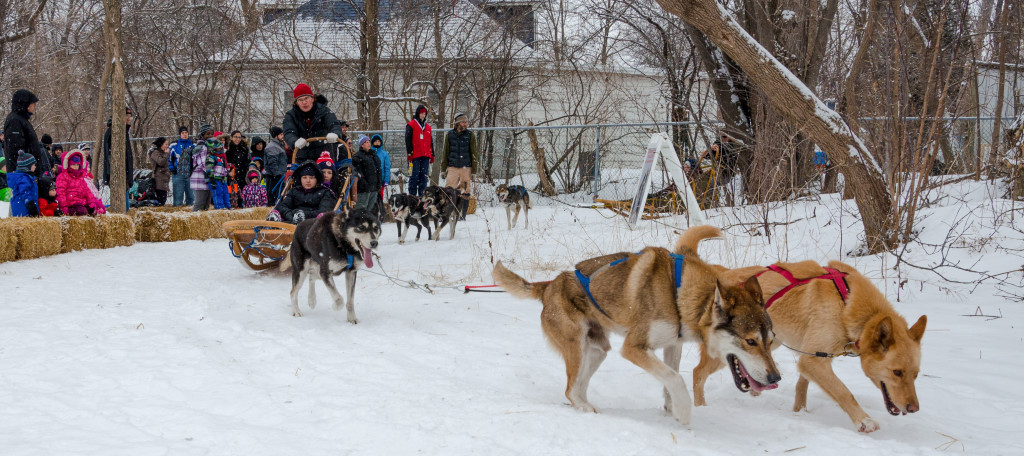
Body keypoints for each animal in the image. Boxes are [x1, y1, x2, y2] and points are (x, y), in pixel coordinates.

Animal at [491, 225, 778, 428]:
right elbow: (675, 378)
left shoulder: (672, 345)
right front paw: (684, 413)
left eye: (770, 339)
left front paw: (672, 411)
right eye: (750, 341)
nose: (776, 378)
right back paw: (586, 411)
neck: (678, 293)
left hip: (597, 351)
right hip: (578, 348)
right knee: (570, 389)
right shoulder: (634, 348)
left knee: (576, 388)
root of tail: (548, 285)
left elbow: (670, 378)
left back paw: (588, 408)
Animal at [688, 257, 929, 432]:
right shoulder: (813, 359)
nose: (914, 409)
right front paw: (864, 421)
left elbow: (801, 386)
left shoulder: (812, 357)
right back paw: (700, 407)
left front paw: (799, 412)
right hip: (726, 353)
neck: (846, 303)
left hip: (763, 348)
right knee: (697, 373)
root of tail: (721, 275)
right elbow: (843, 392)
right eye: (897, 372)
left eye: (915, 374)